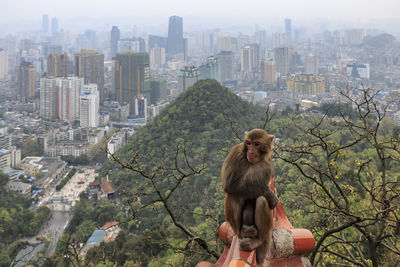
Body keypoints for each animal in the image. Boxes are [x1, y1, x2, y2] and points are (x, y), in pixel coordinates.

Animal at [222, 129, 278, 264]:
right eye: (248, 143)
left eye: (256, 144)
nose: (250, 151)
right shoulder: (236, 153)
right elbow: (230, 185)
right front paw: (270, 194)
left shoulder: (268, 165)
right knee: (233, 194)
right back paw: (242, 231)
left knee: (261, 201)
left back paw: (258, 240)